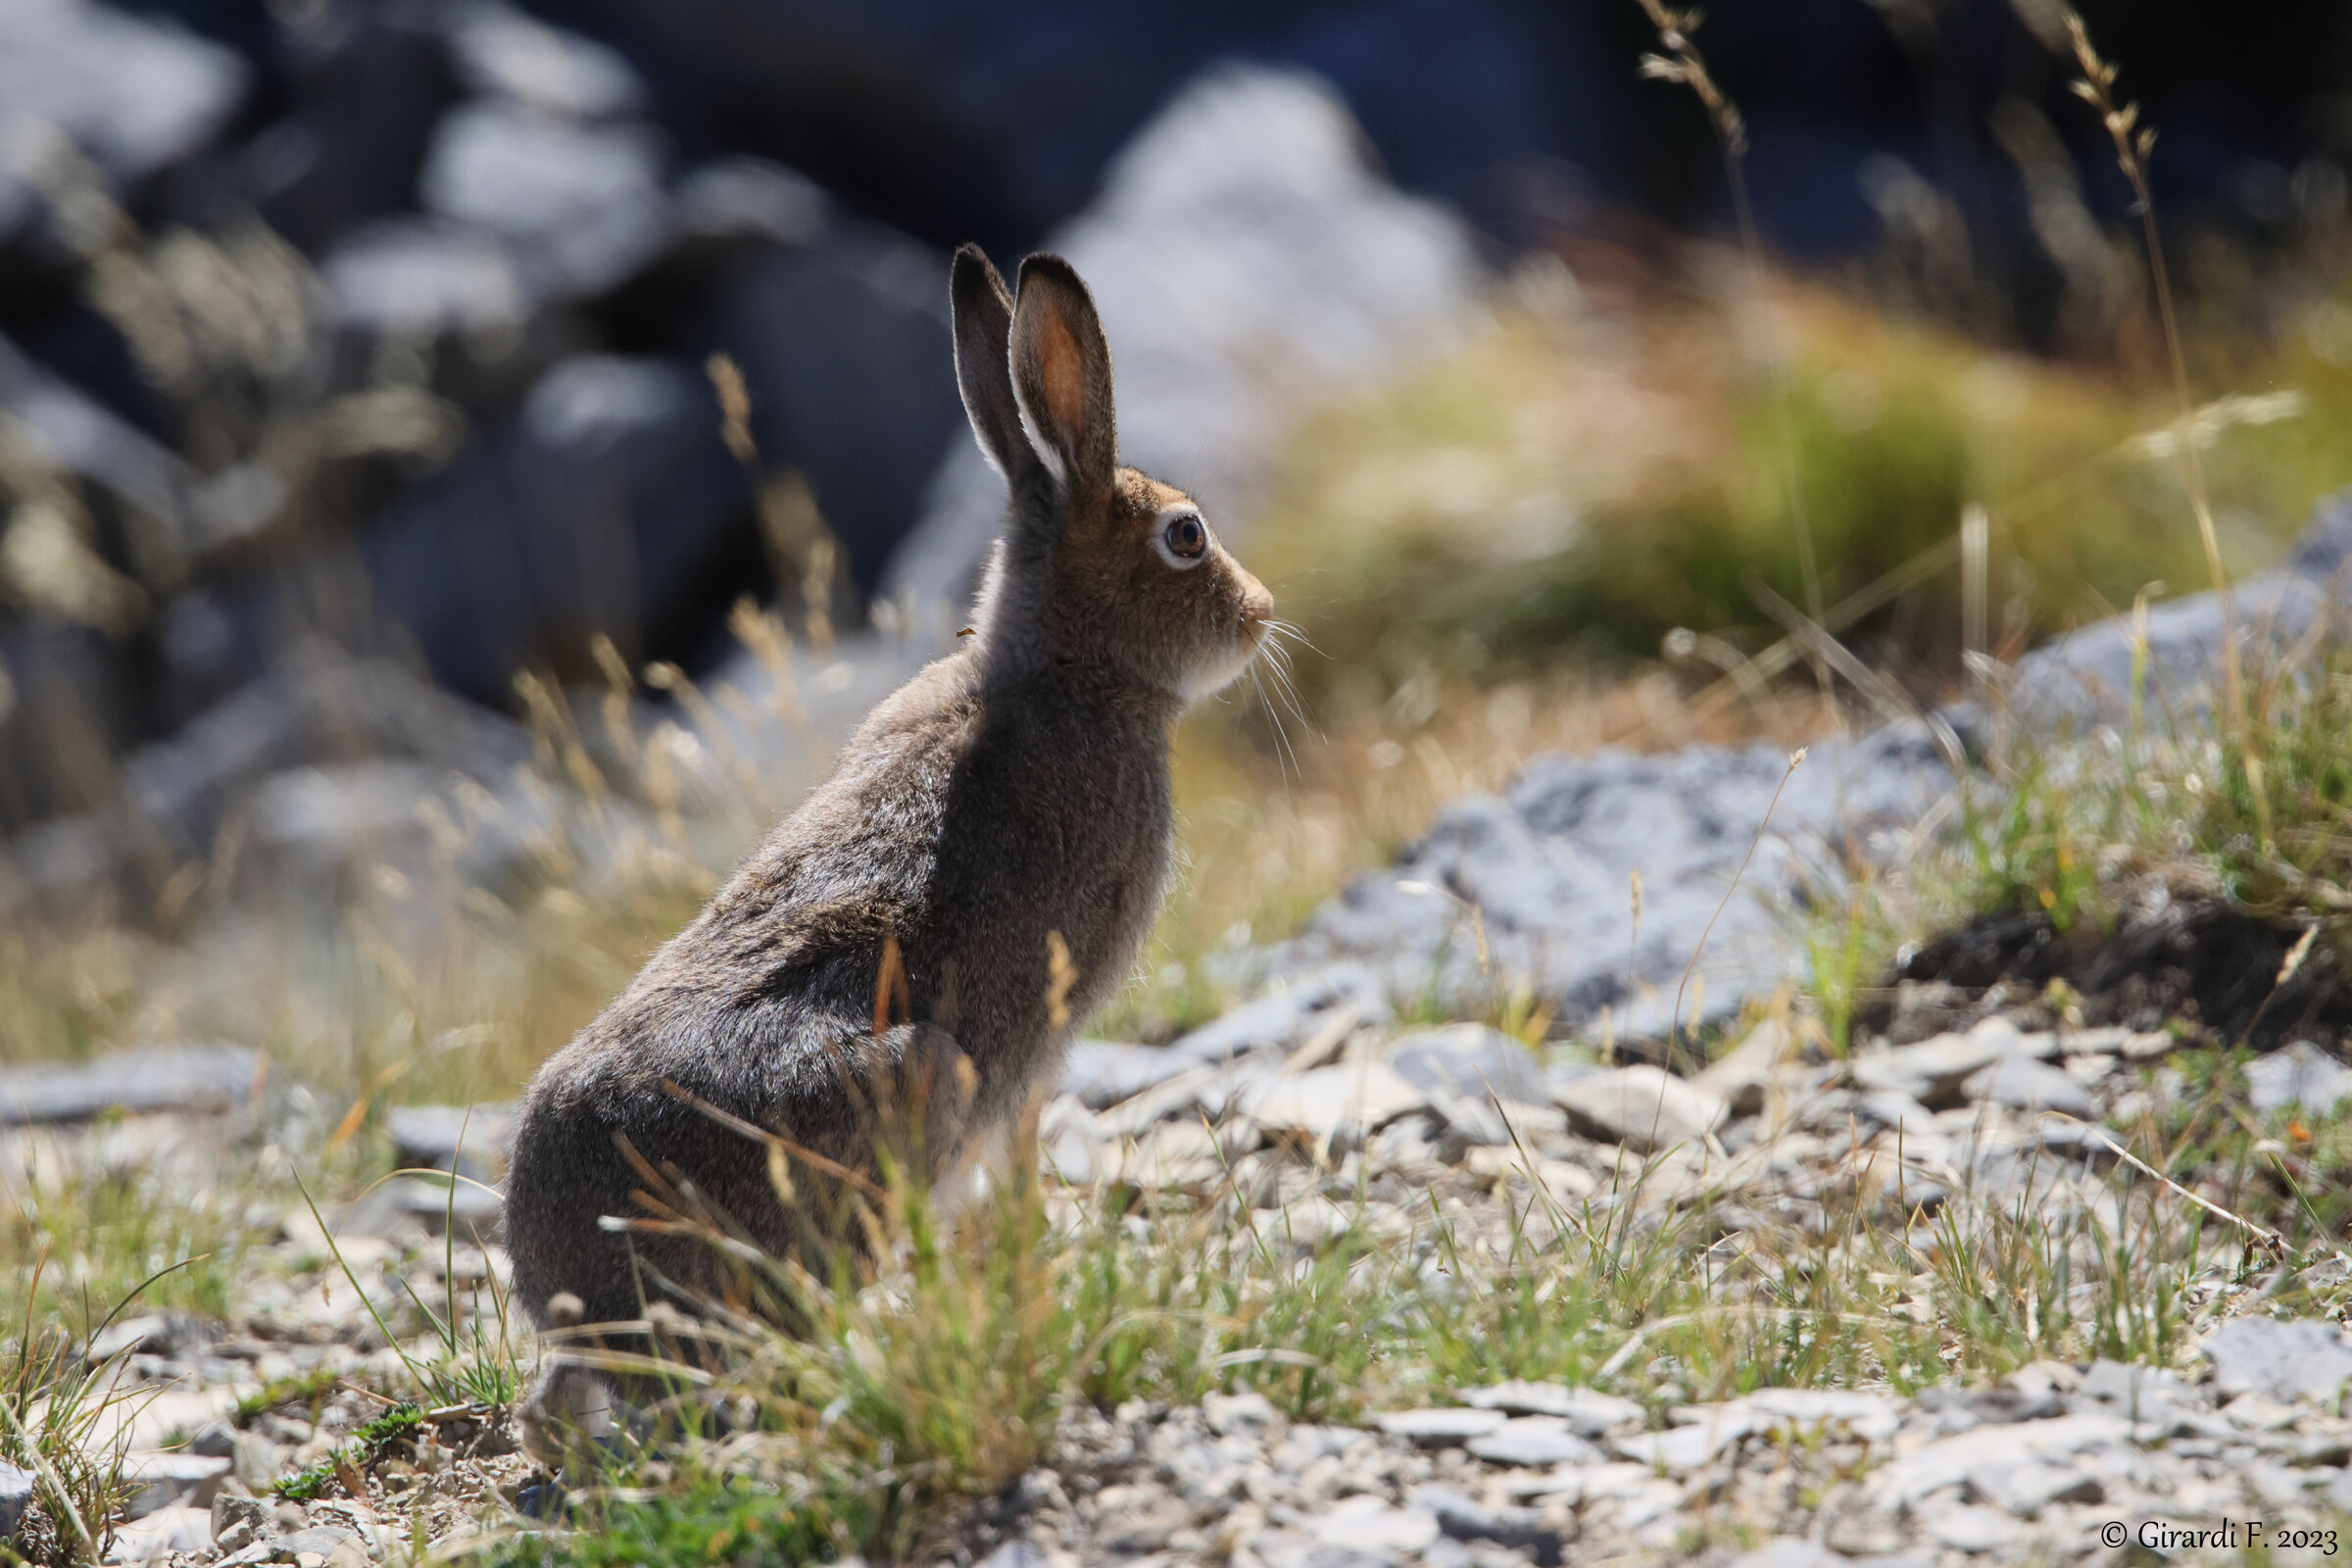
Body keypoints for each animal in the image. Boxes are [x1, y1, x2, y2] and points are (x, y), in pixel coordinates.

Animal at [503, 245, 1274, 1440]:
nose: (1262, 610)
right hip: (915, 1085)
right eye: (1186, 536)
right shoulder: (1034, 1049)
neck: (1069, 672)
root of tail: (591, 1303)